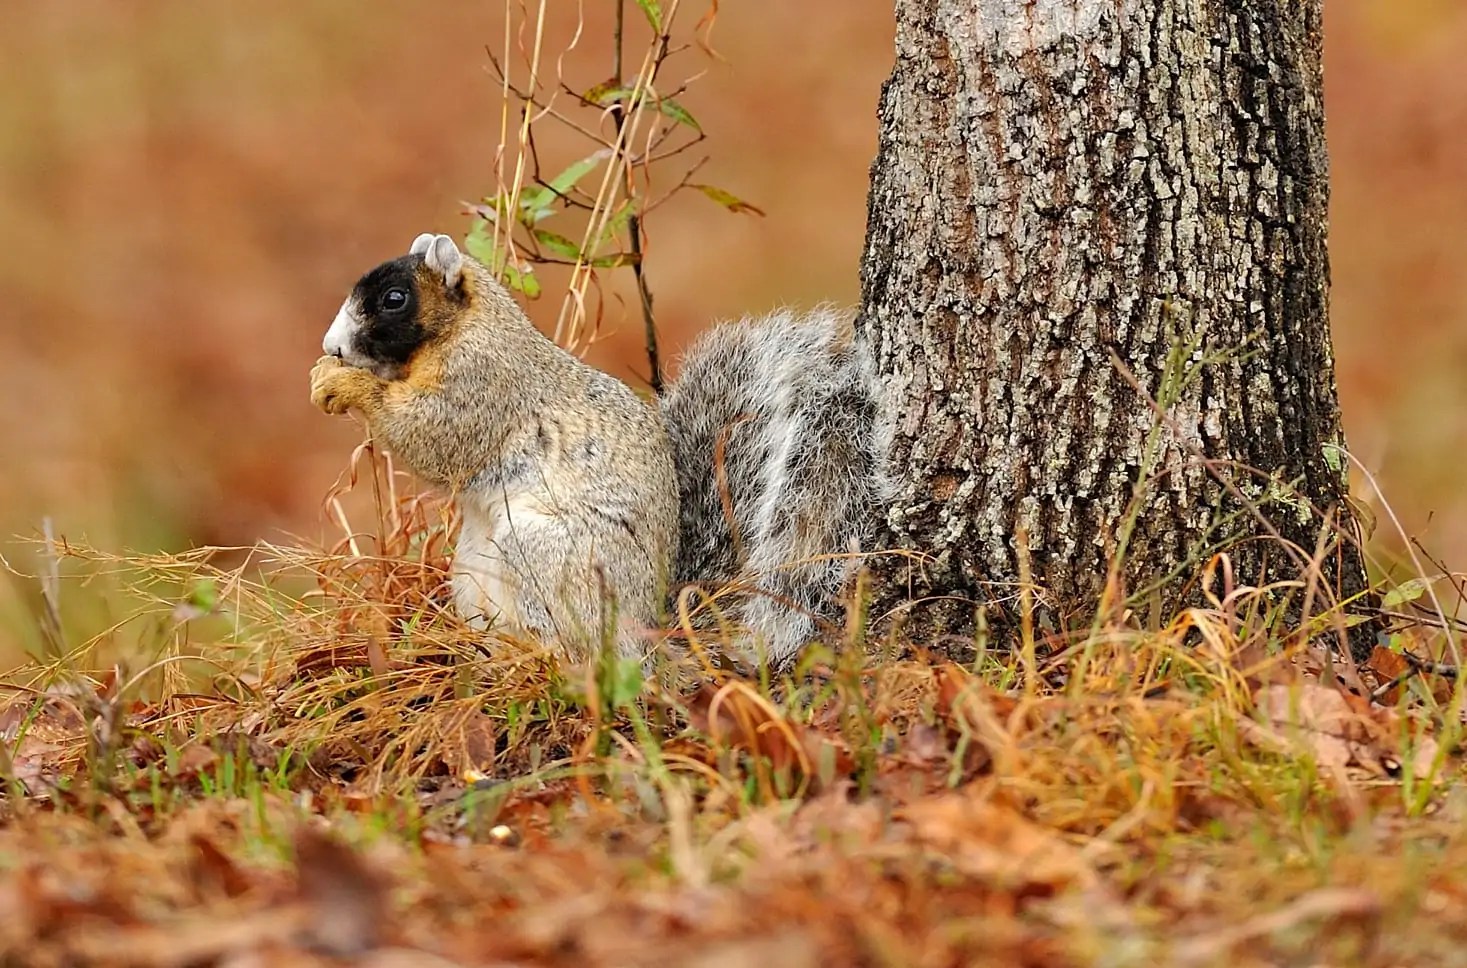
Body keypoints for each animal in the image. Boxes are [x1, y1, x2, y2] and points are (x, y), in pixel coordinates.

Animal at [310, 233, 889, 669]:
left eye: (395, 299)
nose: (330, 346)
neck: (467, 329)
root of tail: (644, 638)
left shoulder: (483, 385)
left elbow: (435, 437)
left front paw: (345, 385)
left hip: (547, 556)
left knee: (574, 651)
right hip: (473, 566)